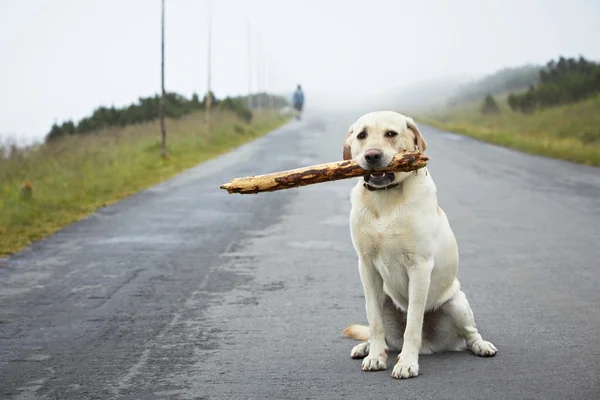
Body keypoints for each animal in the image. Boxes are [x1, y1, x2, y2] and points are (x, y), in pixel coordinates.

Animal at [342, 111, 496, 380]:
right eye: (362, 135)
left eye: (391, 134)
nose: (372, 156)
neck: (385, 199)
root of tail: (430, 346)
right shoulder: (366, 266)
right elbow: (374, 320)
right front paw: (375, 357)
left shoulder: (419, 267)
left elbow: (413, 323)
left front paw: (407, 363)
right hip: (385, 298)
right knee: (381, 333)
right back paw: (367, 347)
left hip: (456, 304)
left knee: (470, 334)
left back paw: (481, 346)